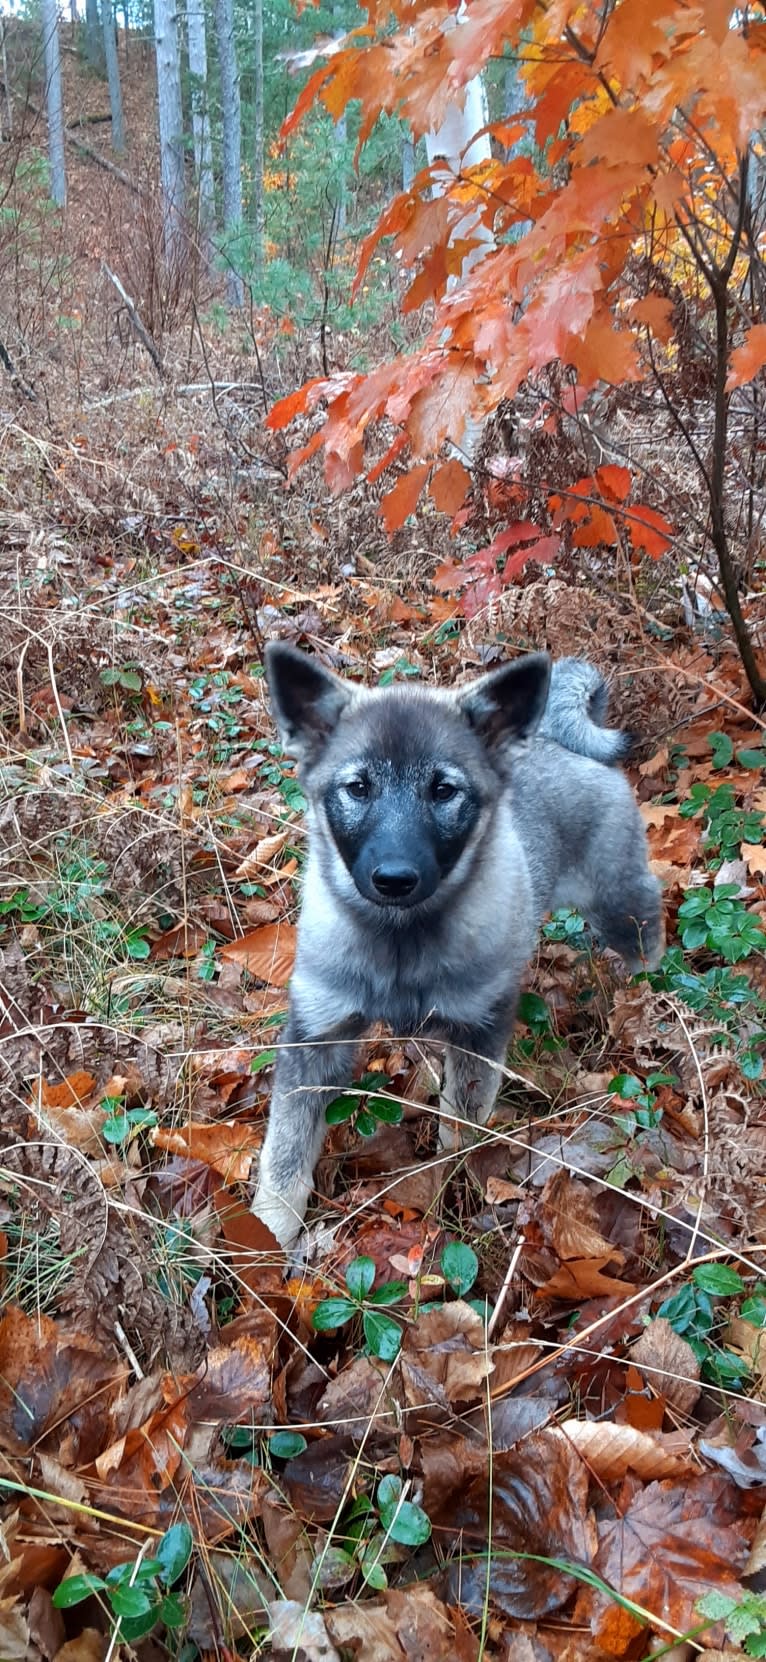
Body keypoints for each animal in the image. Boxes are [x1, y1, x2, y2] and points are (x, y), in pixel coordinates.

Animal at [252, 644, 661, 1249]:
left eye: (443, 791)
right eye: (358, 788)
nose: (394, 879)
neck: (401, 939)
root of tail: (560, 742)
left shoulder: (477, 1030)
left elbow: (458, 1129)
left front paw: (452, 1191)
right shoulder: (318, 1035)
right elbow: (285, 1148)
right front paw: (265, 1235)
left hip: (618, 902)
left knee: (646, 937)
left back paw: (648, 998)